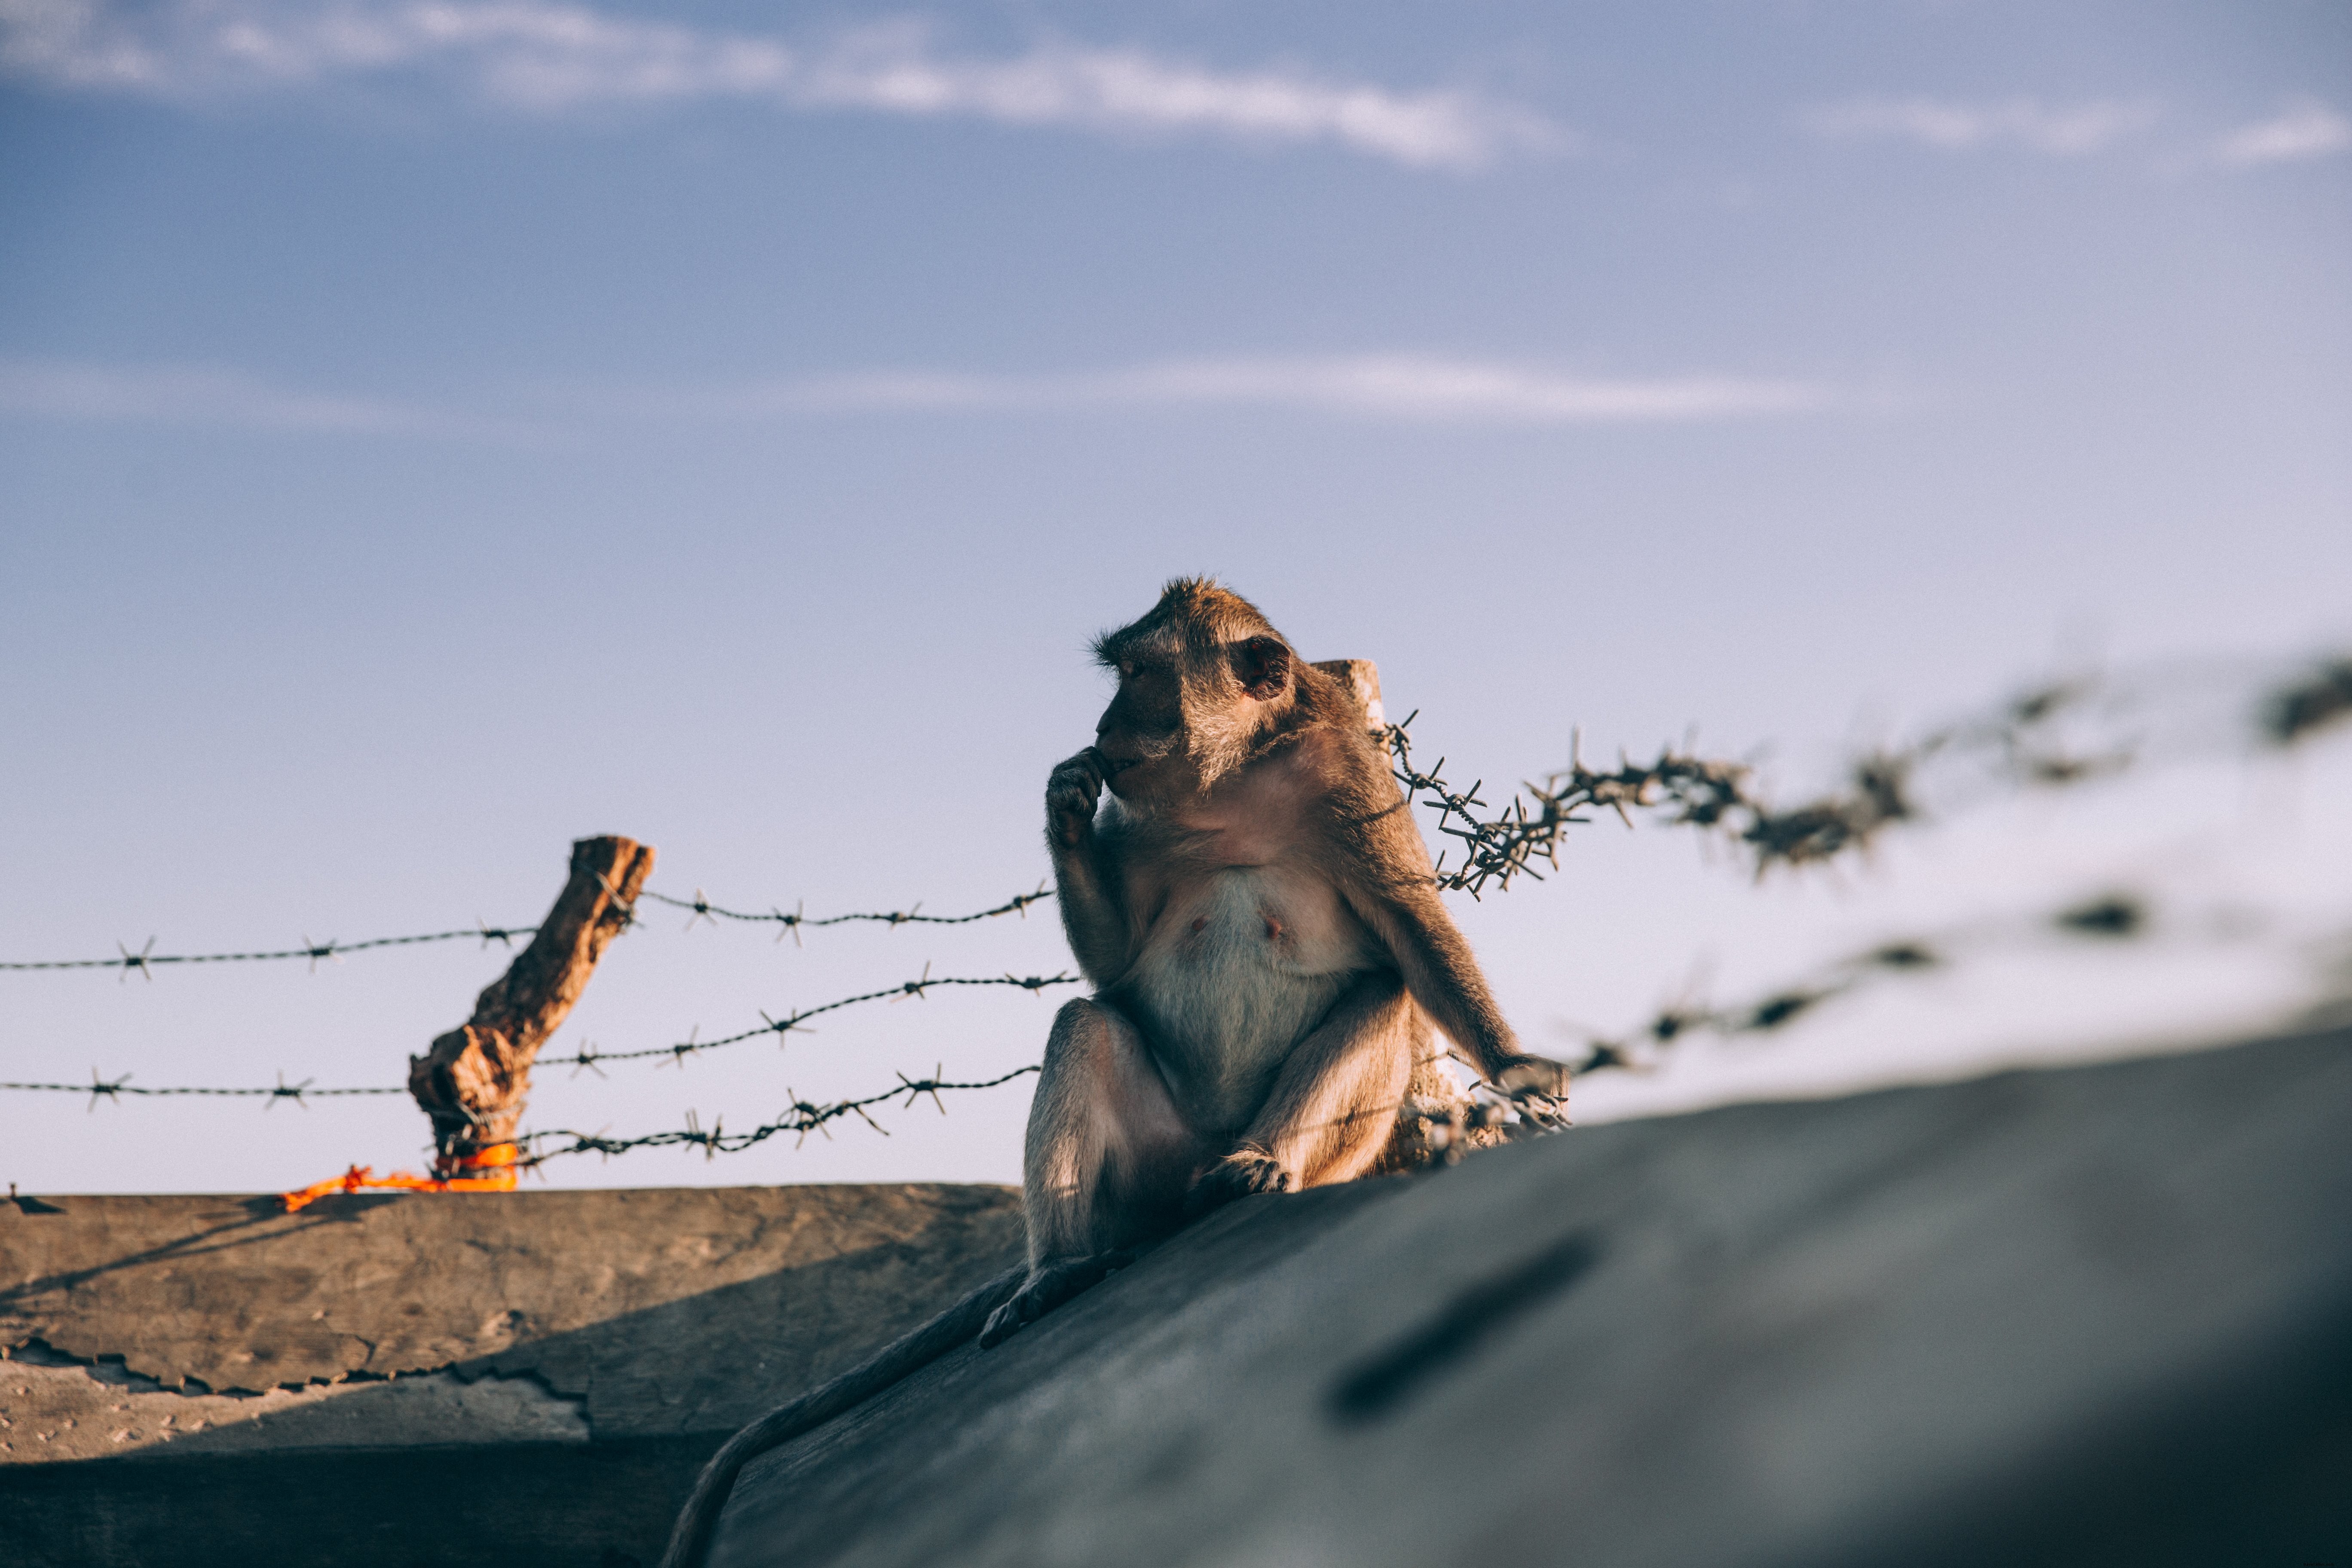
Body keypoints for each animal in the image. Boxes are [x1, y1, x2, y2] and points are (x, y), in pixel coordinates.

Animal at [658, 580, 1564, 1568]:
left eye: (1142, 673)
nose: (1100, 724)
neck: (1235, 781)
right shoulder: (1139, 821)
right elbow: (1114, 965)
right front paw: (1063, 804)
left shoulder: (1352, 787)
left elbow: (1411, 935)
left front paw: (1517, 1071)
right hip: (1146, 1165)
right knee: (1085, 1026)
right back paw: (1058, 1268)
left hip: (1321, 1153)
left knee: (1381, 992)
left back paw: (1255, 1164)